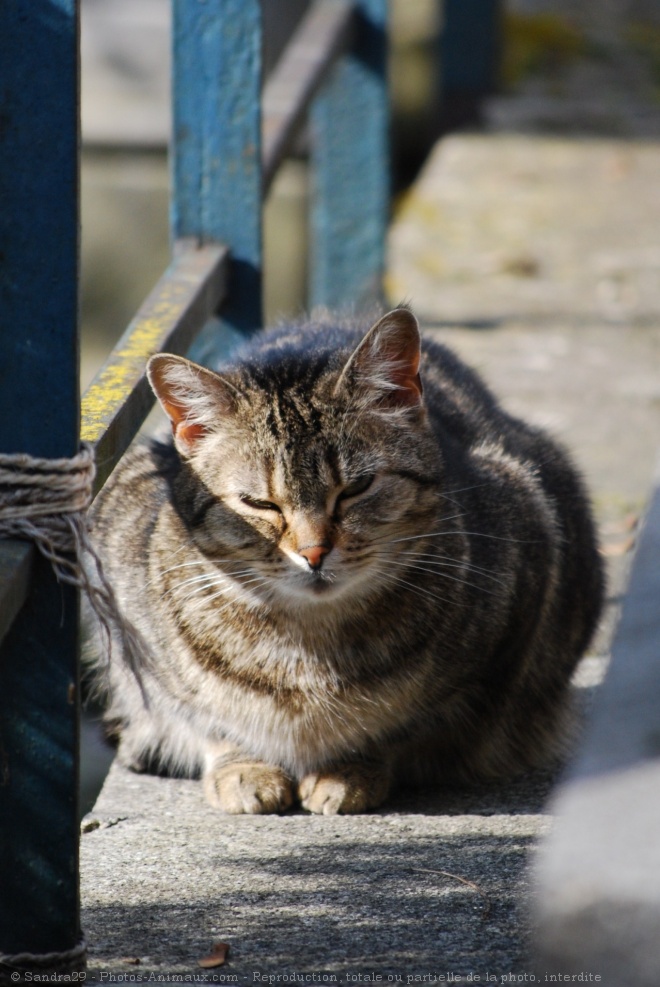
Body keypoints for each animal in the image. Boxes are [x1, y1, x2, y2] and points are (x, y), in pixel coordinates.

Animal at [90, 306, 604, 812]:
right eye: (259, 504)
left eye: (357, 488)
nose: (314, 552)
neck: (306, 649)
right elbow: (207, 717)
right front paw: (243, 766)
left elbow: (403, 726)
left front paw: (351, 769)